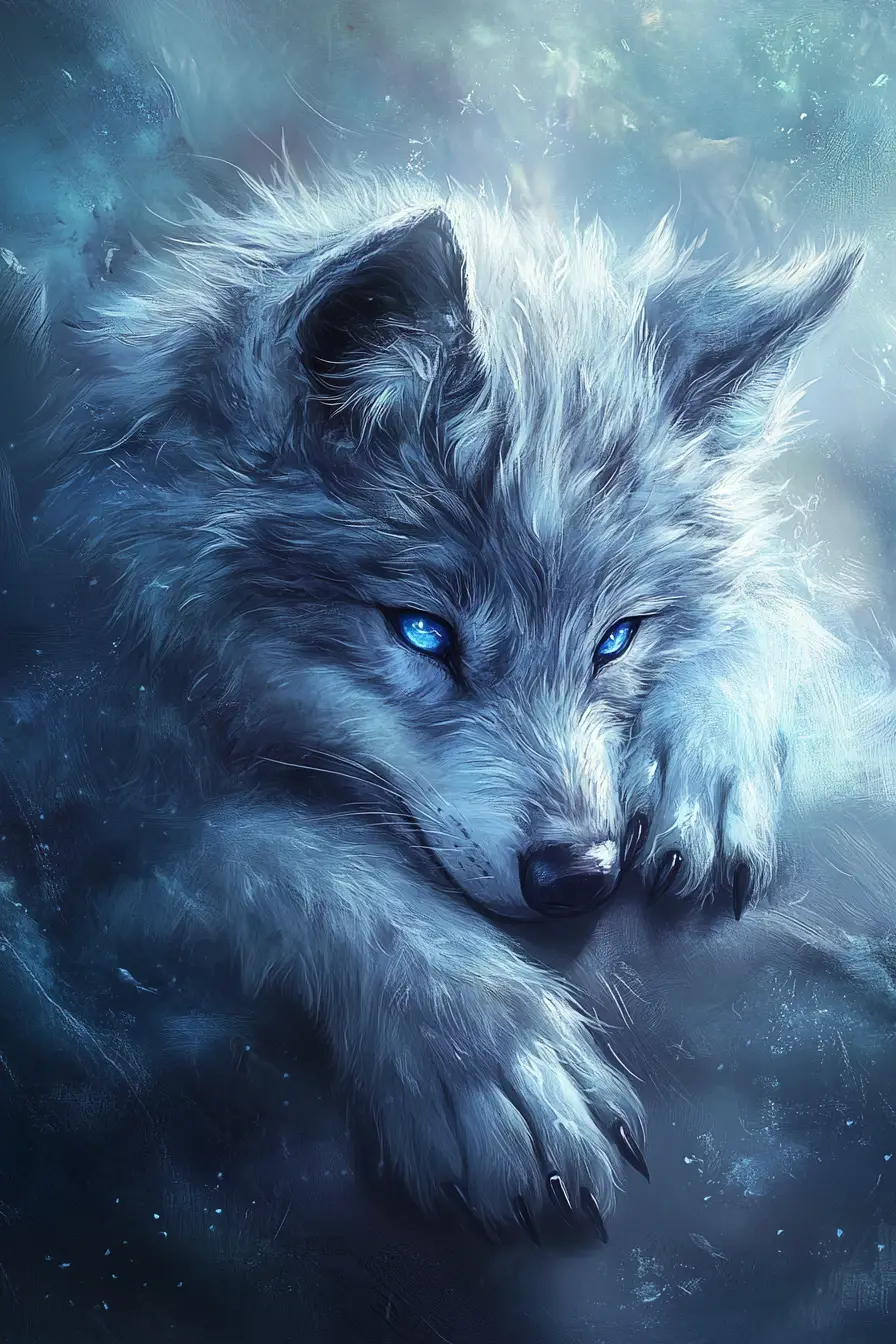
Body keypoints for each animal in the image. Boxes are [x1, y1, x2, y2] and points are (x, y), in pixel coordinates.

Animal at [0, 163, 863, 1243]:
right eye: (422, 634)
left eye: (615, 641)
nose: (581, 875)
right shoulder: (75, 785)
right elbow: (276, 846)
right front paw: (486, 1045)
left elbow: (774, 609)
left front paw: (704, 769)